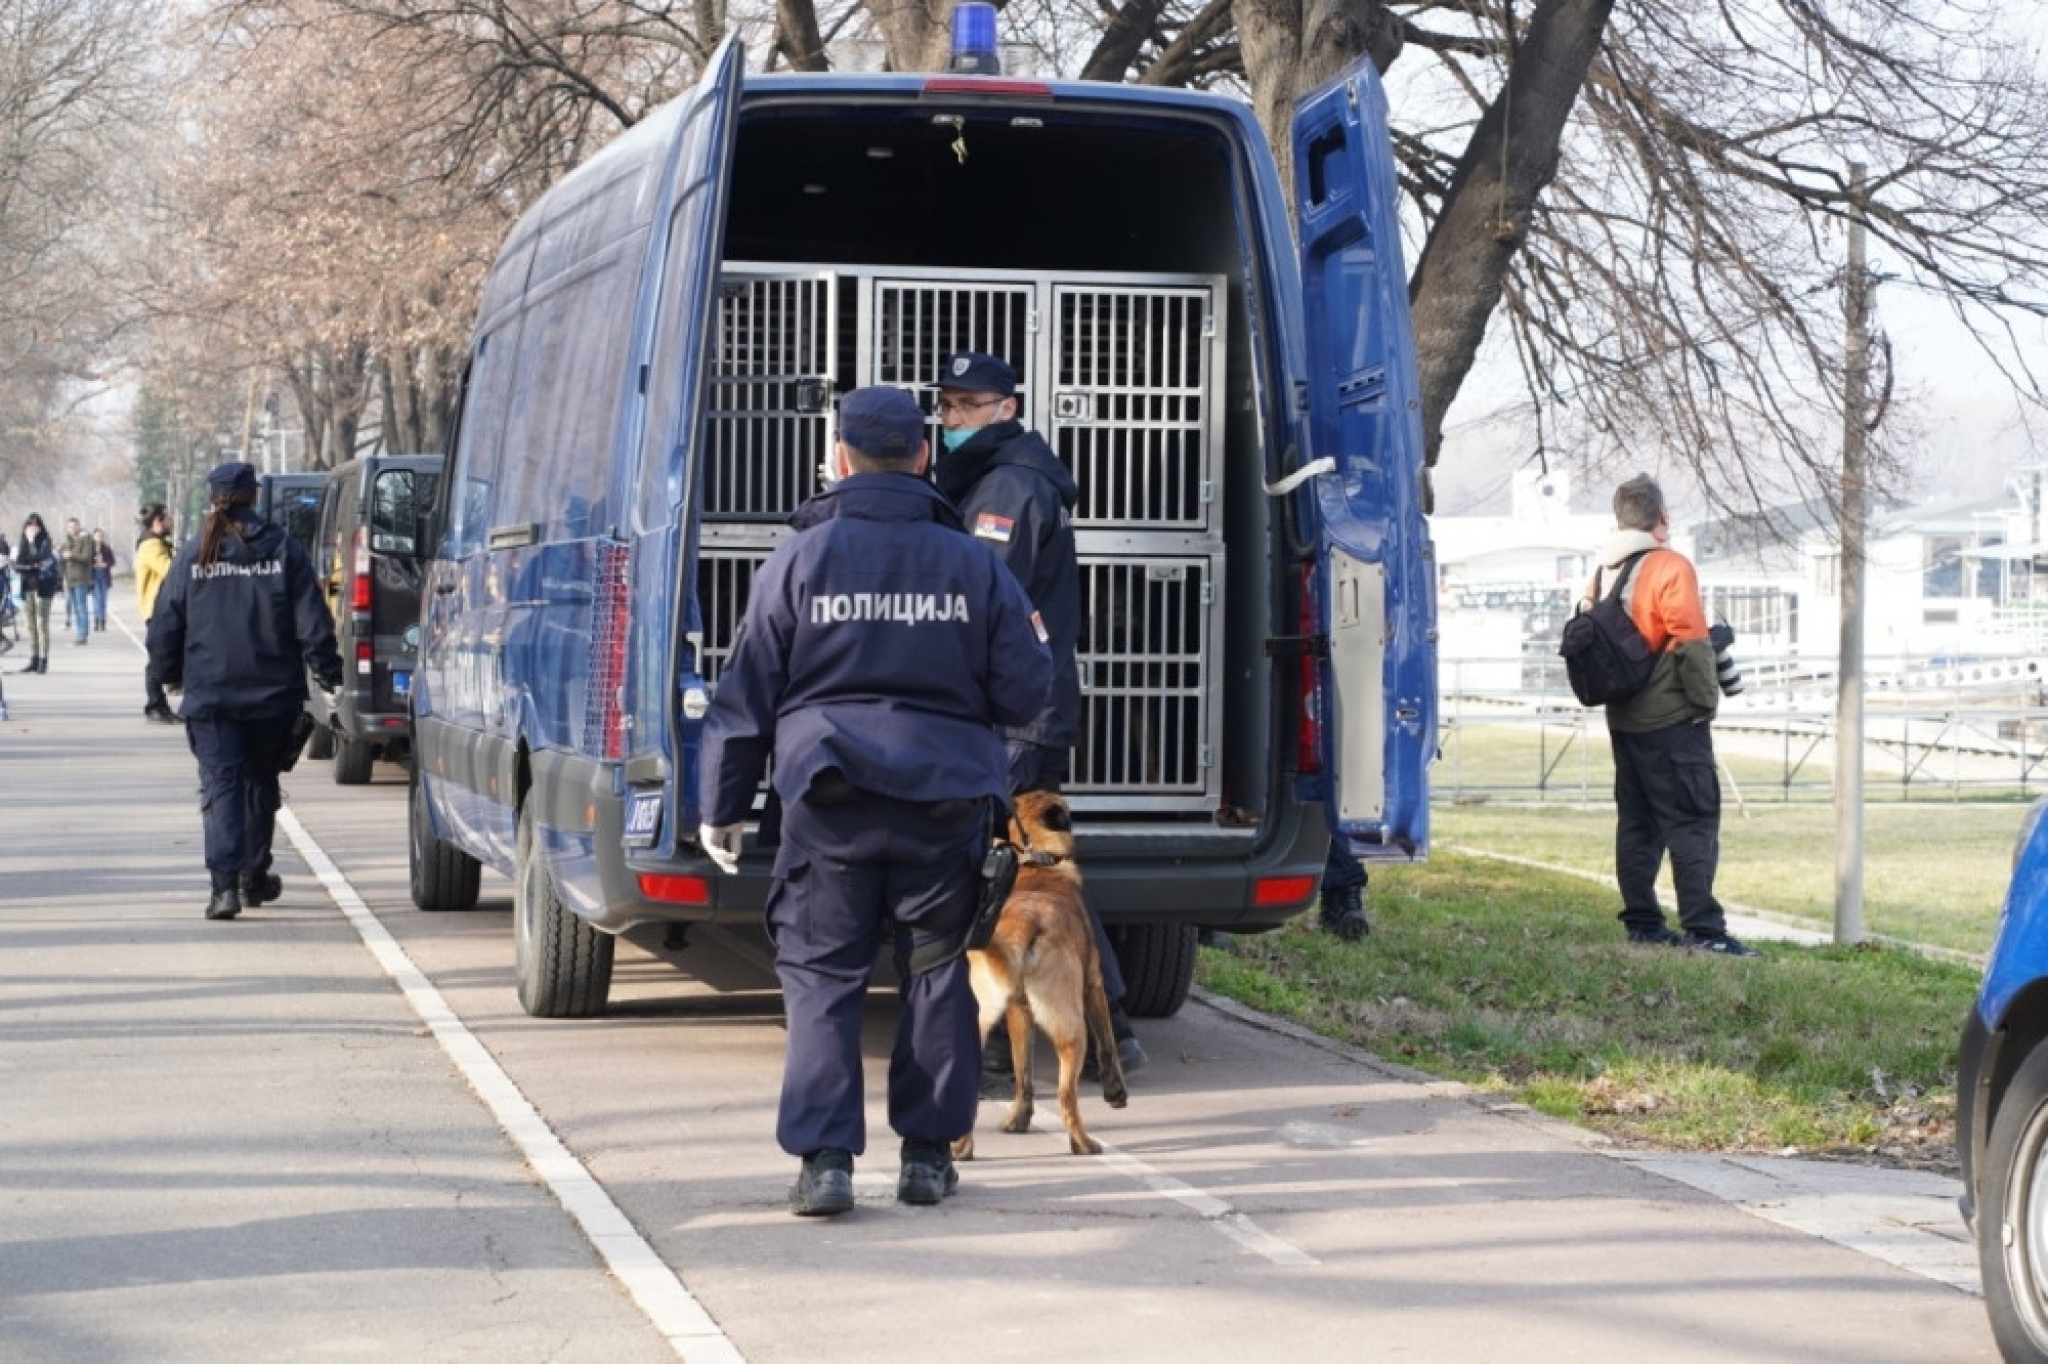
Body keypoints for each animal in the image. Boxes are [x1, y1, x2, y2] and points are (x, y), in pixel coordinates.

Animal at [950, 786, 1130, 1155]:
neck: (1035, 865)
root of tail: (1025, 924)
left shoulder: (1019, 1011)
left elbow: (1024, 1074)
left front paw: (1019, 1118)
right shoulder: (1094, 986)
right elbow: (1108, 1044)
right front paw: (1115, 1092)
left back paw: (962, 1148)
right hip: (1073, 1030)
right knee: (1066, 1098)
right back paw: (1083, 1144)